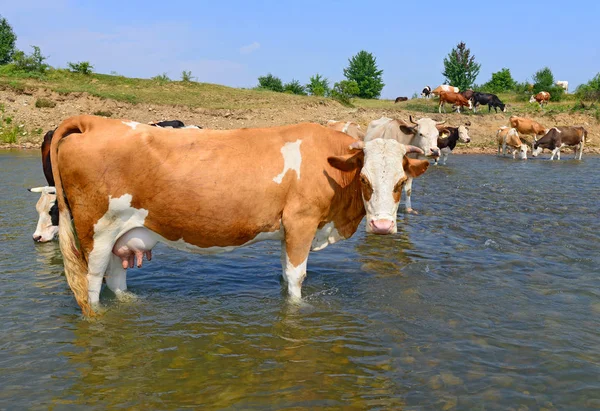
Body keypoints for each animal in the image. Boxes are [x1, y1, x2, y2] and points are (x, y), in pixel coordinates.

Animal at [49, 115, 428, 316]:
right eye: (364, 179)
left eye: (400, 182)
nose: (382, 225)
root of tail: (94, 121)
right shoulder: (301, 223)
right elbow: (297, 278)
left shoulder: (288, 231)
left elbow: (284, 274)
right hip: (96, 232)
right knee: (92, 283)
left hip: (121, 232)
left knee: (116, 278)